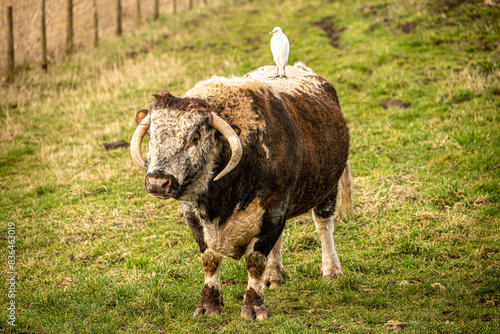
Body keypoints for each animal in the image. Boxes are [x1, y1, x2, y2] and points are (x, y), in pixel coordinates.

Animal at [131, 62, 354, 320]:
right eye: (151, 136)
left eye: (194, 138)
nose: (158, 182)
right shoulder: (193, 215)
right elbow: (210, 259)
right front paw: (208, 305)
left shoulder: (273, 207)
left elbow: (255, 260)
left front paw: (254, 307)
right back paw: (274, 275)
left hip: (327, 187)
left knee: (323, 226)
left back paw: (332, 271)